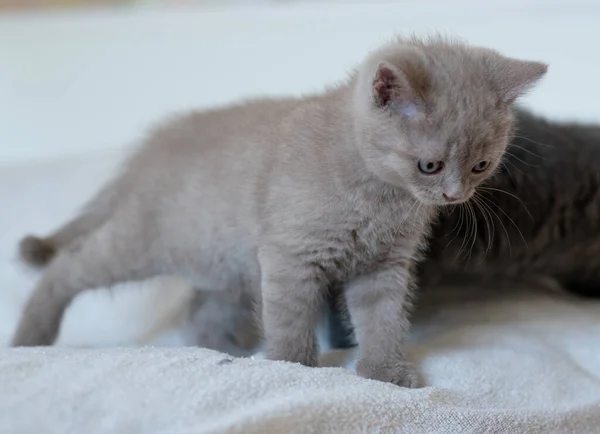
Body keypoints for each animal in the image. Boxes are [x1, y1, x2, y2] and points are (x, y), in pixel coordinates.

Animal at [11, 36, 548, 386]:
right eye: (430, 165)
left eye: (481, 165)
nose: (455, 194)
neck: (381, 196)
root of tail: (148, 150)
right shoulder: (290, 256)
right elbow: (290, 320)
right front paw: (292, 368)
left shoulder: (384, 267)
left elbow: (383, 319)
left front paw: (384, 372)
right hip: (145, 240)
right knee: (67, 267)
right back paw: (30, 337)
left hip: (223, 260)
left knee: (199, 308)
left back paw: (218, 351)